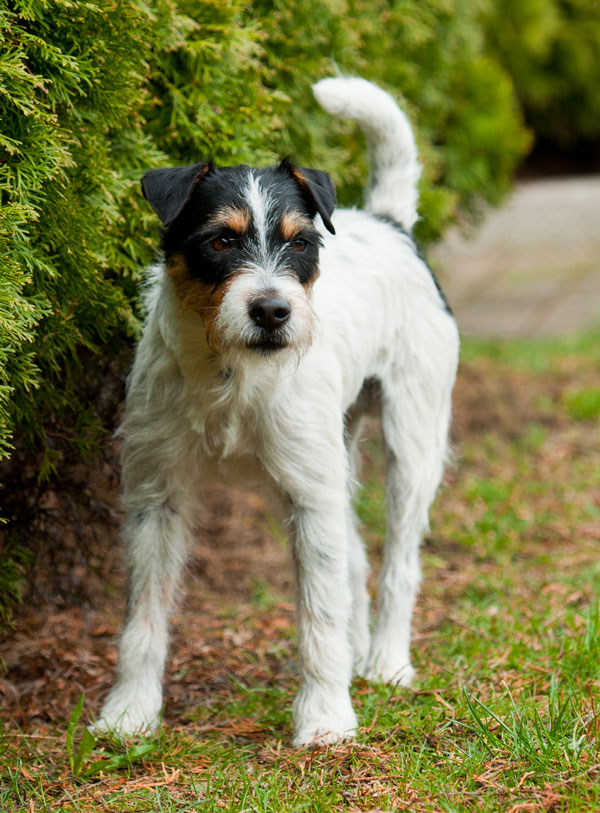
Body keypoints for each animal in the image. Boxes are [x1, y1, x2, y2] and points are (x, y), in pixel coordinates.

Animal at [95, 77, 460, 748]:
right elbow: (143, 616)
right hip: (338, 457)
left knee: (399, 563)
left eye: (300, 242)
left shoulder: (308, 494)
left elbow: (318, 615)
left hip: (411, 443)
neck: (230, 375)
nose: (272, 311)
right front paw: (129, 712)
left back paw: (387, 662)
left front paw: (325, 717)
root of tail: (391, 224)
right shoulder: (156, 495)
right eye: (220, 240)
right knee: (356, 560)